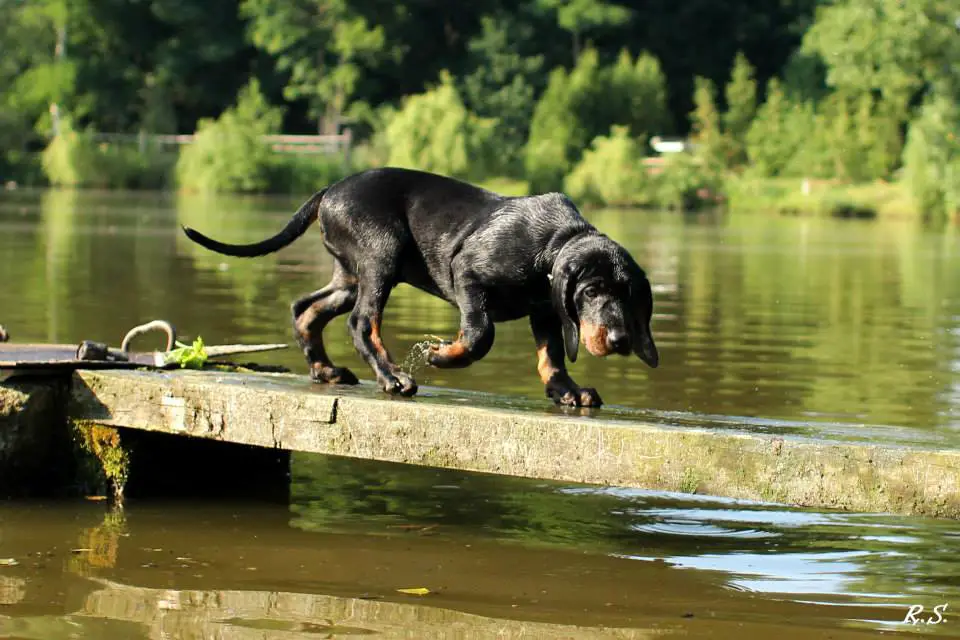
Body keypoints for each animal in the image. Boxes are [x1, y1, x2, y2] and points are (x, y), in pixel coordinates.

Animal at [182, 168, 652, 408]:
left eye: (628, 295)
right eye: (590, 292)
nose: (621, 340)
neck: (553, 245)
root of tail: (329, 190)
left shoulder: (546, 311)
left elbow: (551, 357)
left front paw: (567, 391)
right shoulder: (467, 273)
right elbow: (481, 334)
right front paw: (442, 354)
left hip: (350, 275)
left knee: (306, 309)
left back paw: (325, 370)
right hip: (381, 257)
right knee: (361, 322)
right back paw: (392, 377)